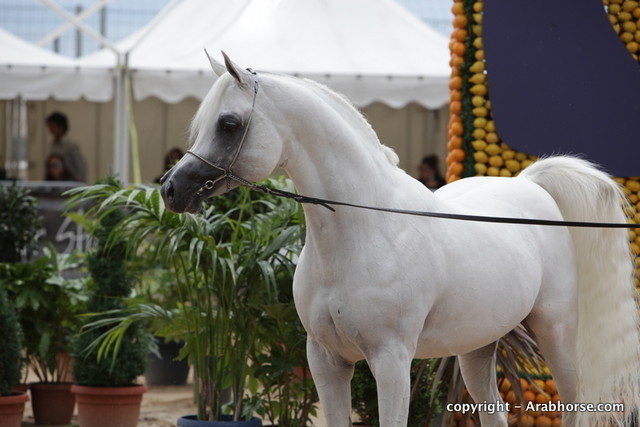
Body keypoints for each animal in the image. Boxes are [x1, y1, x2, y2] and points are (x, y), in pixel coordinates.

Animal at [160, 52, 640, 426]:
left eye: (228, 123)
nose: (171, 189)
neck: (362, 232)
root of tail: (529, 184)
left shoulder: (390, 360)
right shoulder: (325, 359)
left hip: (555, 331)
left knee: (574, 403)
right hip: (477, 346)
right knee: (495, 410)